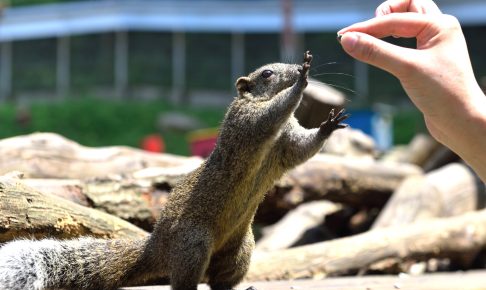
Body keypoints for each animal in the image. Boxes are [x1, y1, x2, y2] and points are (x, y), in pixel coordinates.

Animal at [0, 51, 350, 288]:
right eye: (266, 73)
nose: (296, 70)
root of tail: (157, 247)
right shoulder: (246, 123)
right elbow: (267, 118)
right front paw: (300, 85)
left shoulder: (286, 145)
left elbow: (302, 148)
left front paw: (327, 125)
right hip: (193, 245)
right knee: (184, 283)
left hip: (239, 252)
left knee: (220, 282)